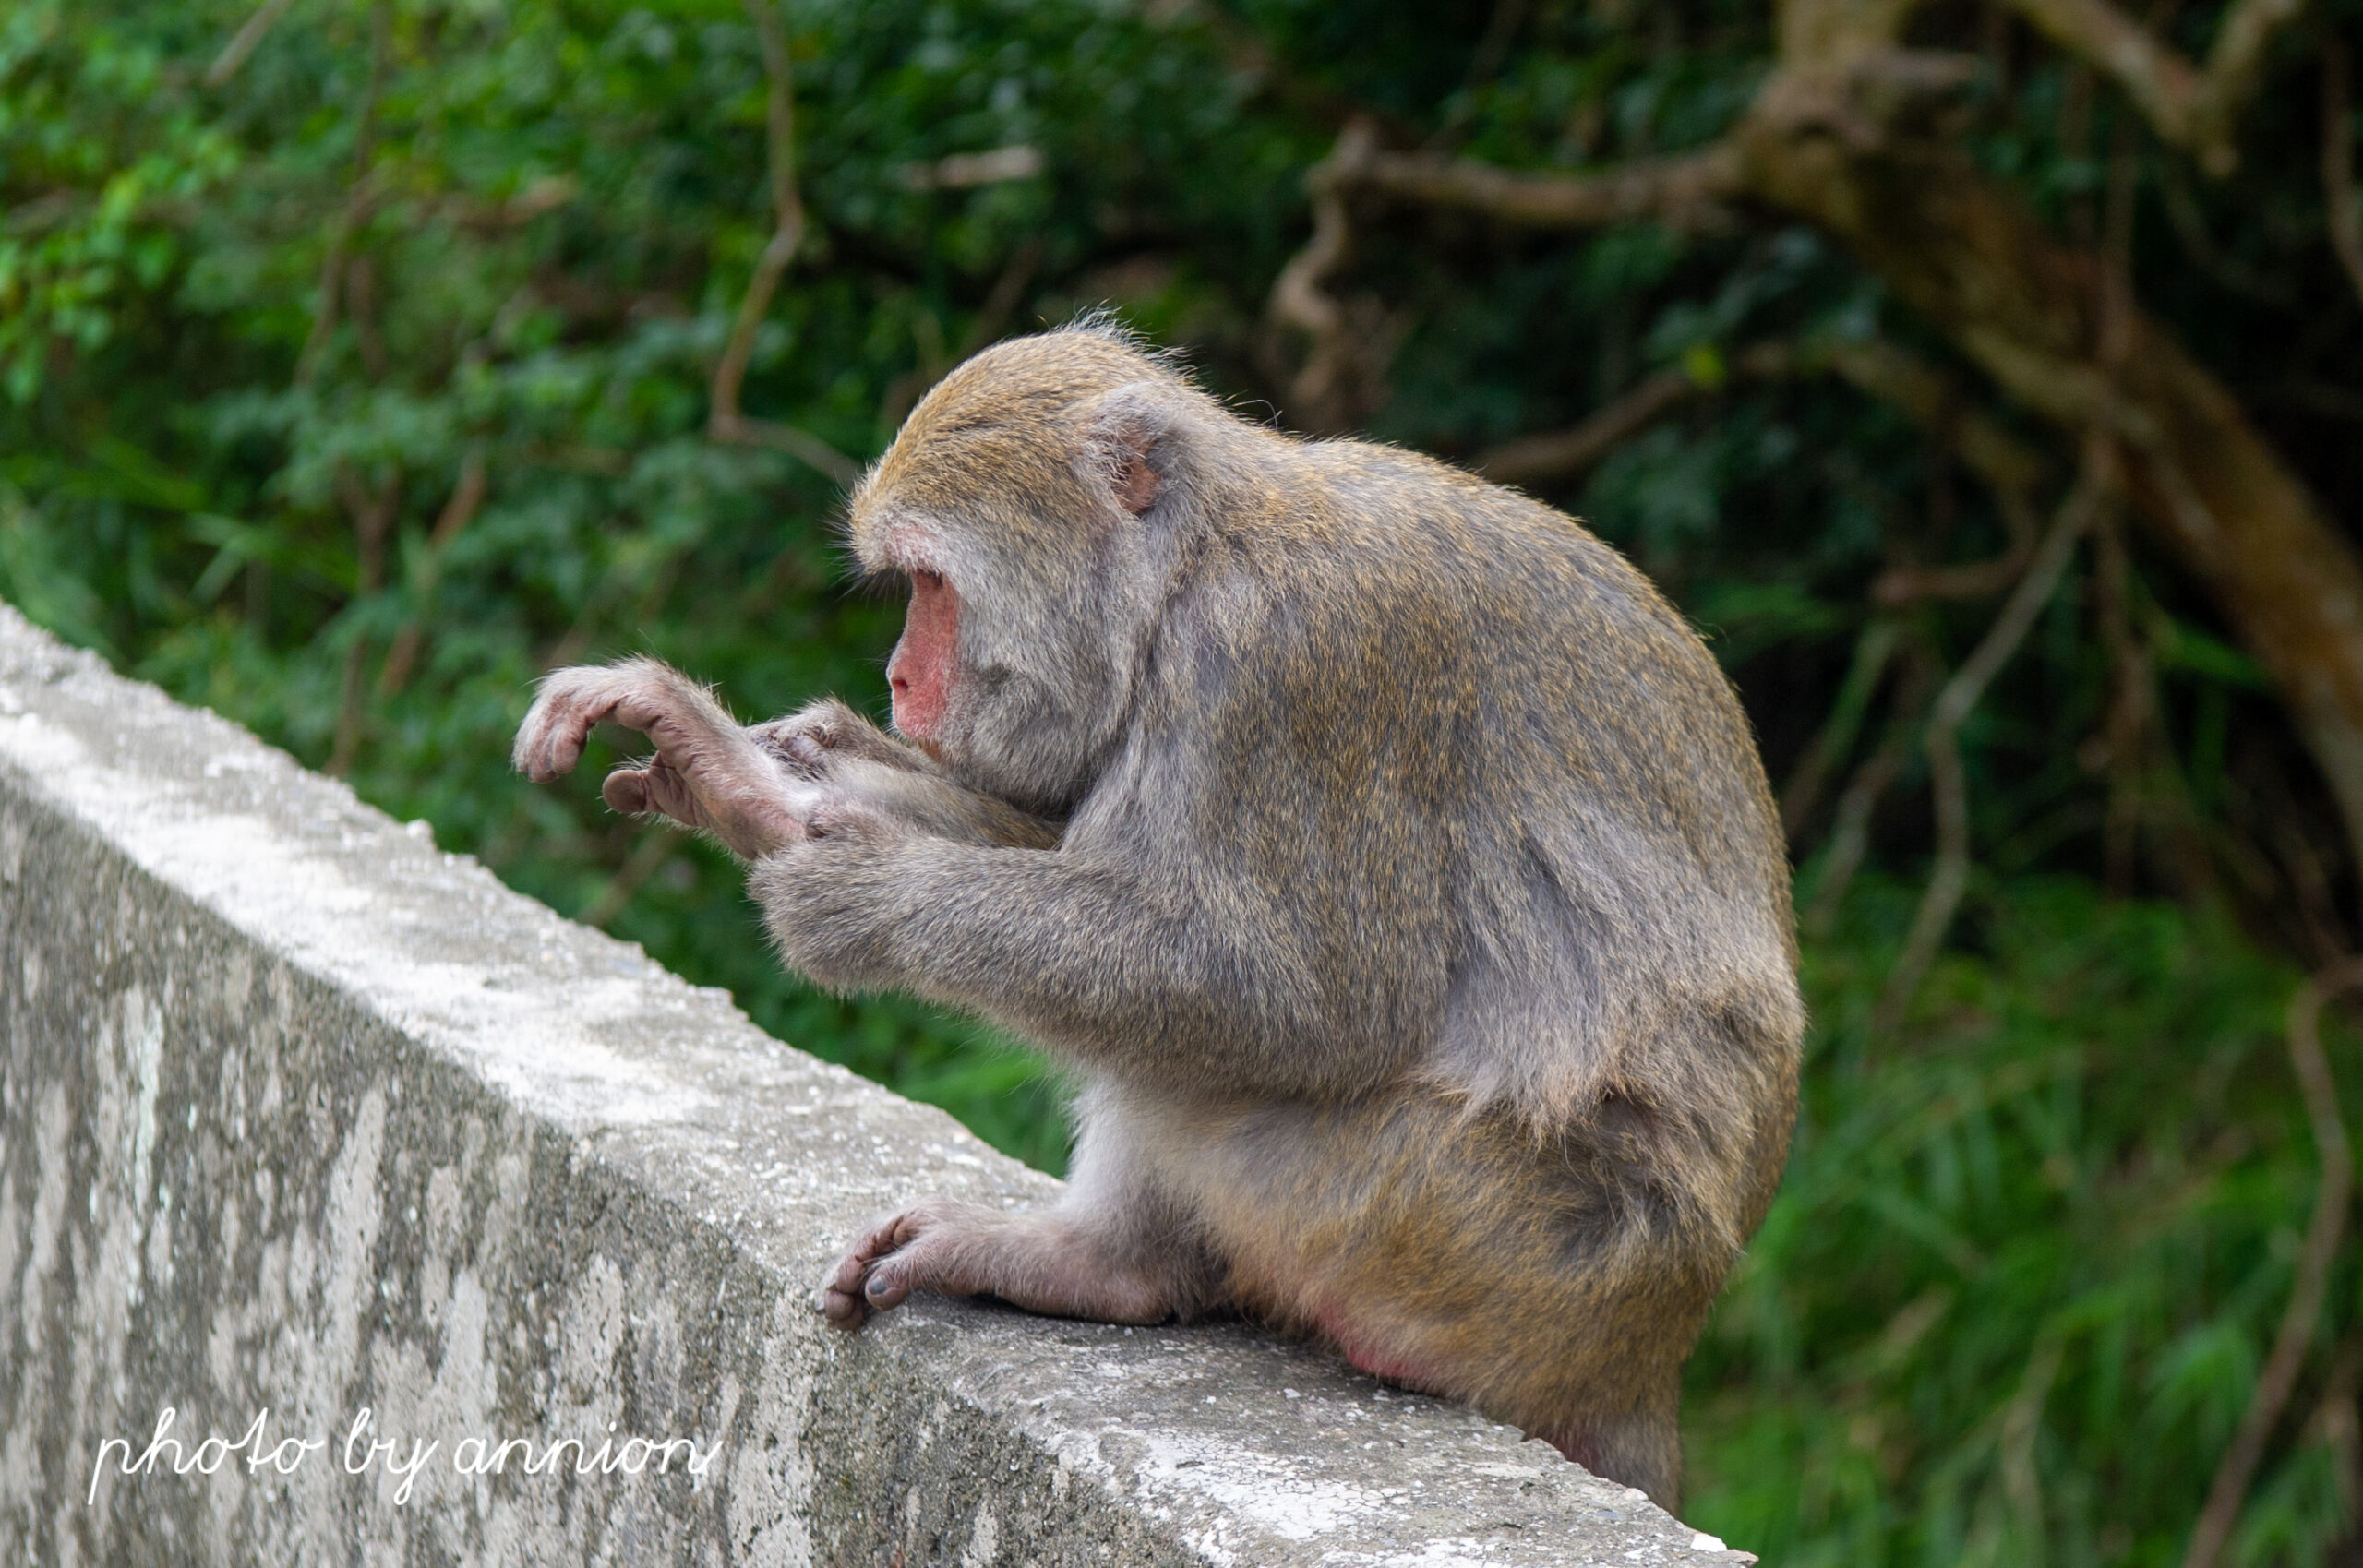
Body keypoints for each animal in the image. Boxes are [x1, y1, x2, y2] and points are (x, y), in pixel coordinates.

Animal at [517, 320, 1795, 1511]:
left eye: (930, 584)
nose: (896, 680)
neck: (1189, 575)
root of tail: (1645, 1355)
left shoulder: (1289, 666)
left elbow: (1295, 996)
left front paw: (861, 890)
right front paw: (745, 778)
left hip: (1457, 1226)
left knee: (1211, 1064)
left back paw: (1119, 1267)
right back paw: (1096, 1266)